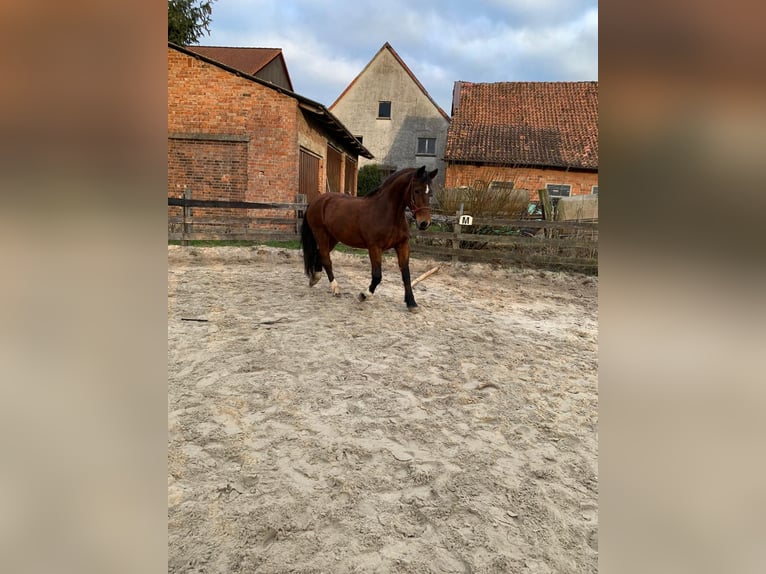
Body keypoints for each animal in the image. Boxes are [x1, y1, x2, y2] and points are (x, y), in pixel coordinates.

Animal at [300, 164, 438, 312]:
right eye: (417, 191)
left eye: (430, 193)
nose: (424, 223)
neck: (387, 213)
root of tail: (317, 201)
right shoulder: (374, 247)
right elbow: (377, 276)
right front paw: (364, 295)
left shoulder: (402, 245)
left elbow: (406, 274)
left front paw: (411, 303)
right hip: (321, 234)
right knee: (326, 258)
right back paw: (335, 288)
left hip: (333, 238)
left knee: (320, 254)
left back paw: (315, 278)